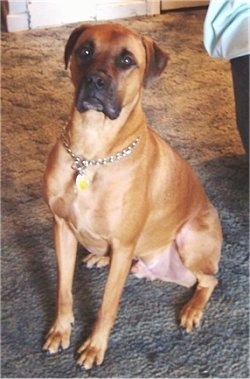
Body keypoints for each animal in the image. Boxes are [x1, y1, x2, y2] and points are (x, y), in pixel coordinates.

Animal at [43, 22, 223, 370]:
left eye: (127, 61)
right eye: (85, 51)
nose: (95, 80)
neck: (92, 152)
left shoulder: (125, 245)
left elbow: (107, 306)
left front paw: (94, 347)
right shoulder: (61, 228)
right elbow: (63, 290)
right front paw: (60, 329)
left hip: (189, 240)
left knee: (209, 281)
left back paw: (192, 309)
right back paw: (99, 256)